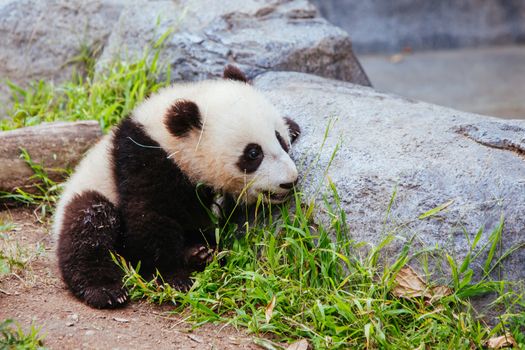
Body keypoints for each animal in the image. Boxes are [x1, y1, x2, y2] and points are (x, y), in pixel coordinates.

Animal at [53, 66, 300, 308]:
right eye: (253, 153)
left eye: (279, 139)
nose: (290, 181)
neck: (167, 139)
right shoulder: (142, 162)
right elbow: (149, 218)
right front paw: (175, 278)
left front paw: (293, 125)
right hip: (90, 192)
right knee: (90, 225)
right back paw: (106, 290)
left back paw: (199, 253)